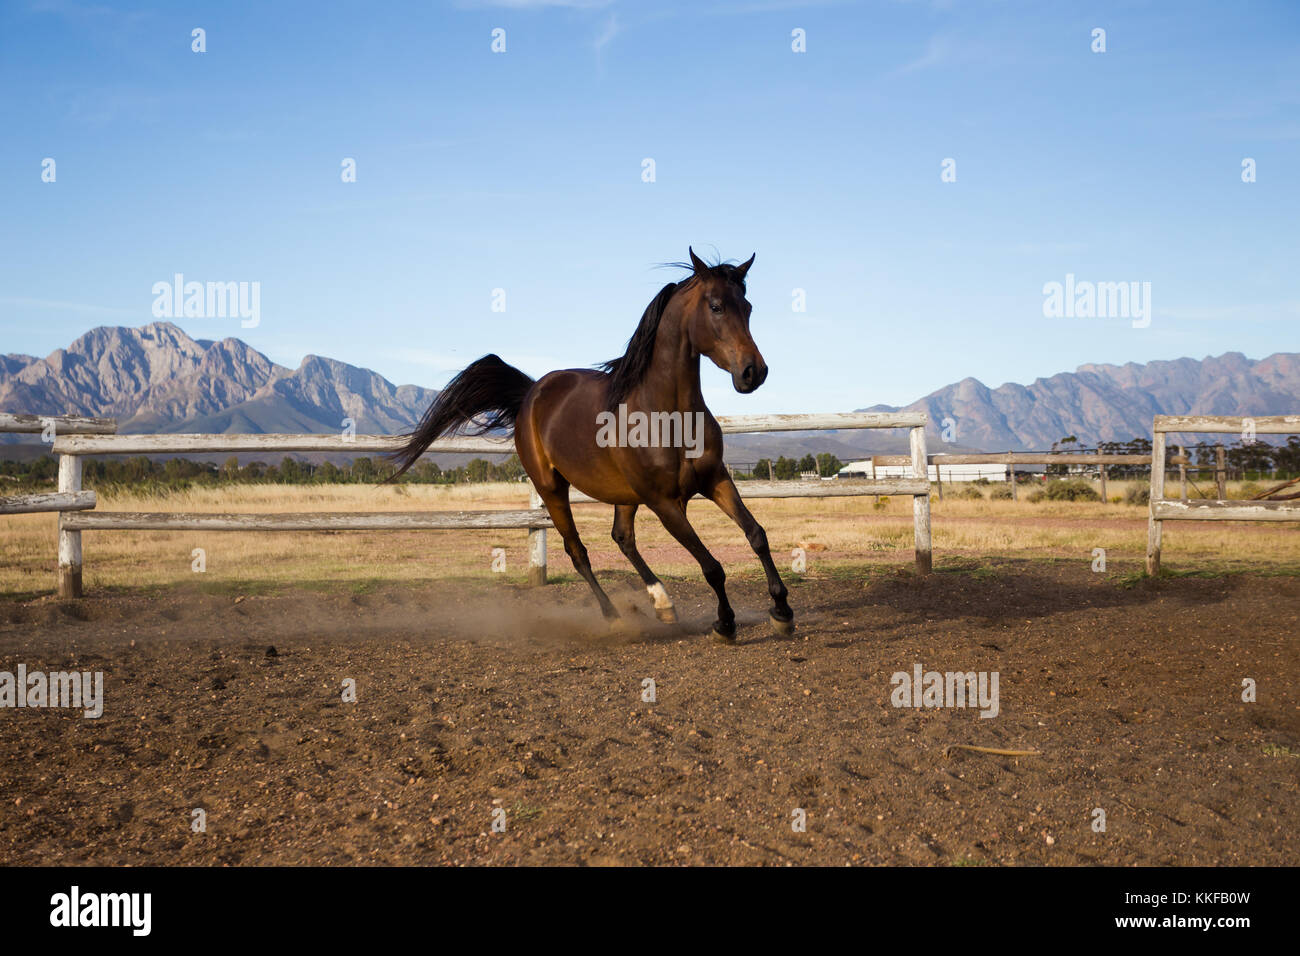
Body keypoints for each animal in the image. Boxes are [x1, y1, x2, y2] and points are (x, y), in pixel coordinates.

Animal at [384, 248, 790, 642]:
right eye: (716, 306)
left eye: (748, 307)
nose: (754, 372)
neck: (666, 414)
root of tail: (530, 393)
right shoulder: (664, 502)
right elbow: (711, 566)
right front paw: (725, 624)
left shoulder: (716, 479)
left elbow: (757, 535)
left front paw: (782, 611)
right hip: (551, 488)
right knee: (578, 551)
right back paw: (613, 617)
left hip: (624, 494)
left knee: (622, 538)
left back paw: (663, 604)